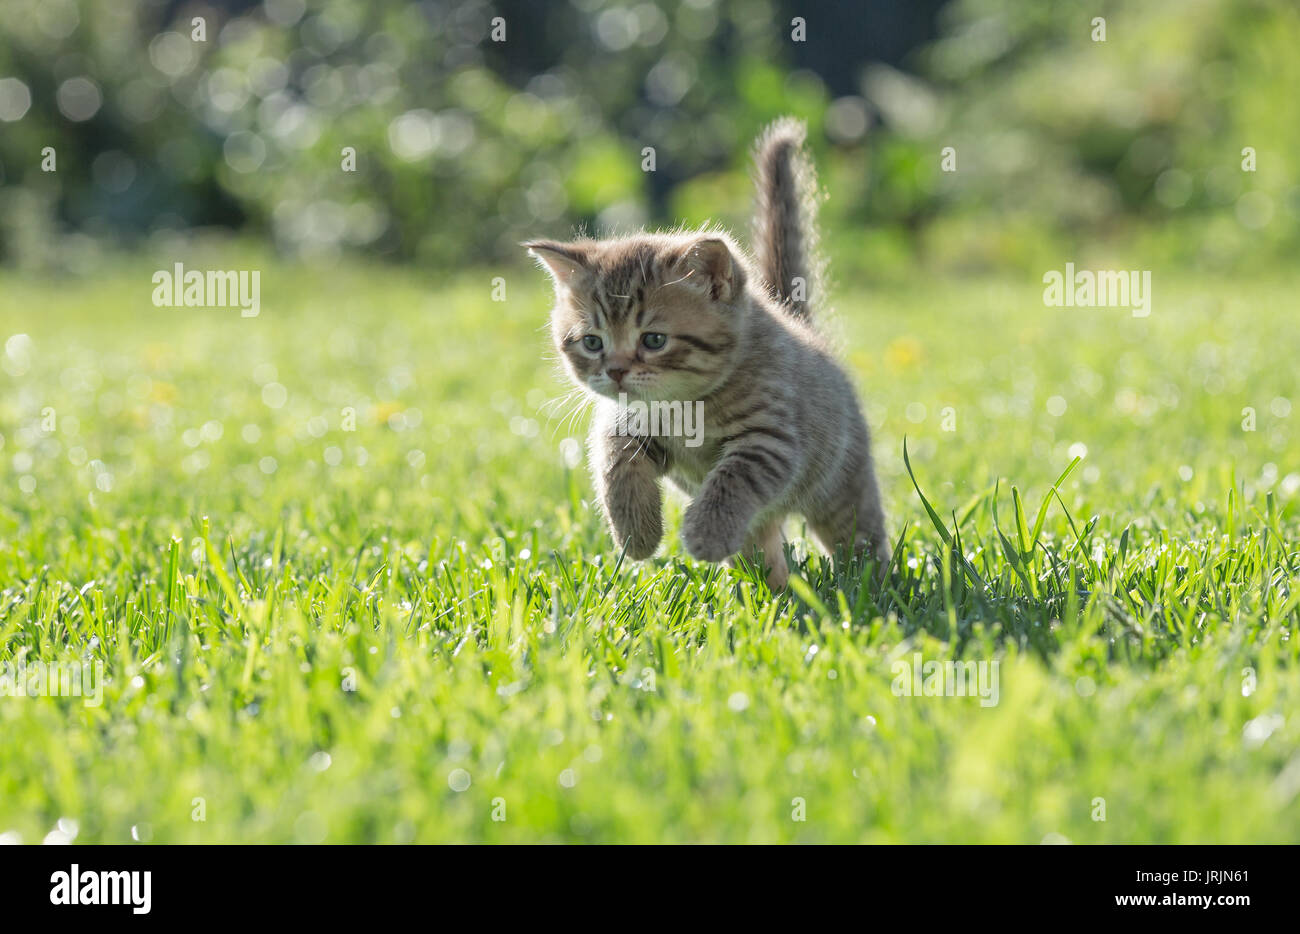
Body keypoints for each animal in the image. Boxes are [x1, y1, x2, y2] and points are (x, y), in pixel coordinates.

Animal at [522, 115, 889, 585]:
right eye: (592, 342)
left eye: (653, 340)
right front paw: (636, 532)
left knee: (859, 535)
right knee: (761, 544)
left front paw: (705, 532)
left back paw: (873, 582)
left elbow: (732, 478)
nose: (616, 371)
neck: (682, 406)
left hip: (841, 483)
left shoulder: (772, 438)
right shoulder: (624, 421)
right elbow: (615, 461)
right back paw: (774, 589)